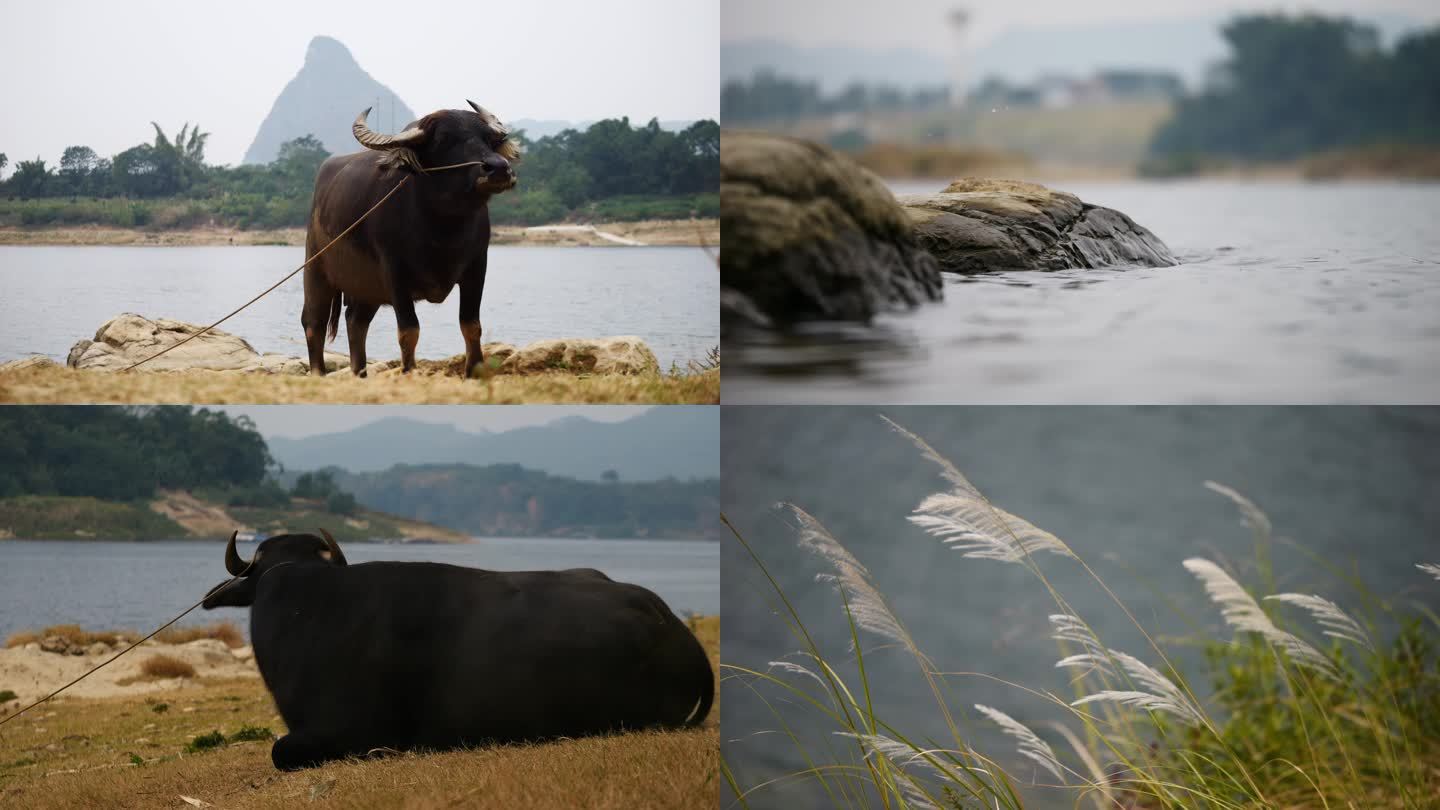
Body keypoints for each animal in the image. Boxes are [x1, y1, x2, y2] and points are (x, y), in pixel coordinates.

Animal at [302, 100, 518, 374]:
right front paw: (409, 371)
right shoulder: (395, 274)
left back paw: (360, 373)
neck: (443, 228)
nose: (499, 168)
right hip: (316, 270)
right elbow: (408, 330)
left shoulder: (477, 267)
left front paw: (475, 371)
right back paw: (318, 372)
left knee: (356, 321)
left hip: (366, 289)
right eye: (444, 140)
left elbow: (471, 325)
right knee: (313, 323)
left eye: (488, 138)